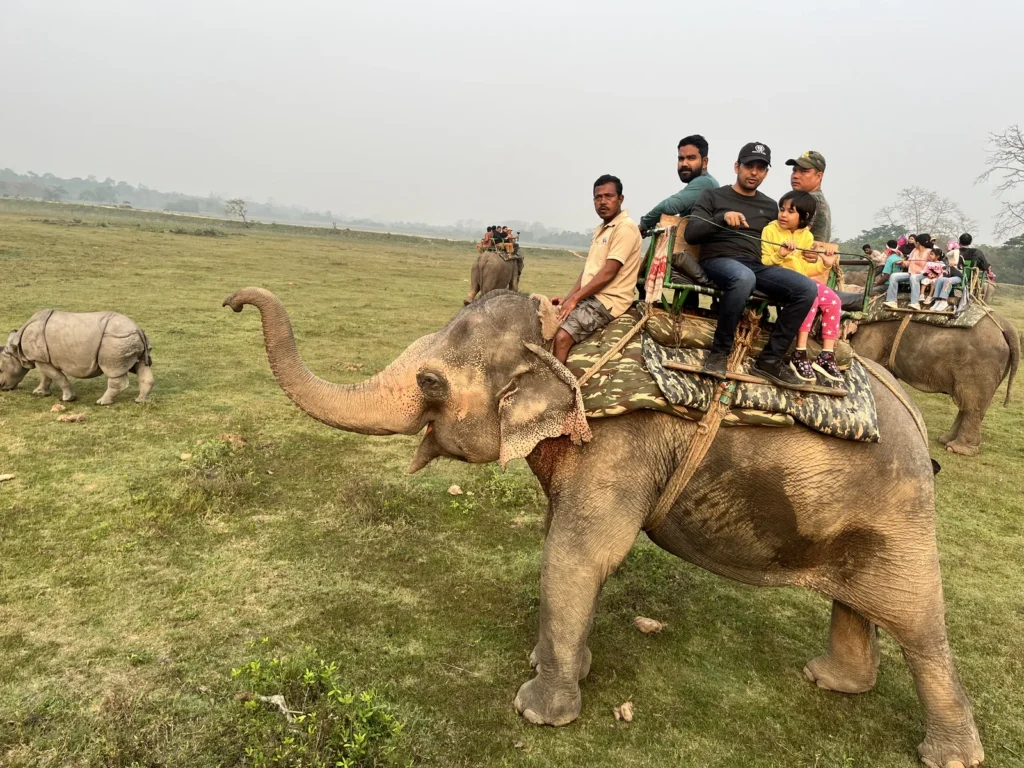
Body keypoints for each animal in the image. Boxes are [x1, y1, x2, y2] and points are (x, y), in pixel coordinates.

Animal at [0, 310, 154, 405]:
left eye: (1, 370)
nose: (2, 387)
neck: (15, 349)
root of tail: (138, 329)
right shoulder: (42, 358)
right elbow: (46, 376)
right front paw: (39, 393)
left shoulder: (40, 358)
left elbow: (57, 376)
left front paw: (68, 399)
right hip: (128, 339)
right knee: (141, 365)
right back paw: (140, 401)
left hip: (116, 339)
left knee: (113, 371)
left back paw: (102, 402)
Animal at [225, 286, 984, 768]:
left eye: (433, 384)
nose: (234, 302)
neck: (565, 337)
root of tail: (915, 421)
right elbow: (562, 539)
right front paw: (552, 666)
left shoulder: (622, 442)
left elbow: (580, 553)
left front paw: (539, 712)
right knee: (859, 600)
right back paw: (831, 682)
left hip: (896, 509)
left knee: (918, 621)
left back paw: (948, 756)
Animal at [848, 311, 1019, 456]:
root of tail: (1006, 326)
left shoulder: (872, 335)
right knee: (969, 405)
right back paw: (945, 440)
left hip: (980, 366)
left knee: (971, 405)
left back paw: (956, 448)